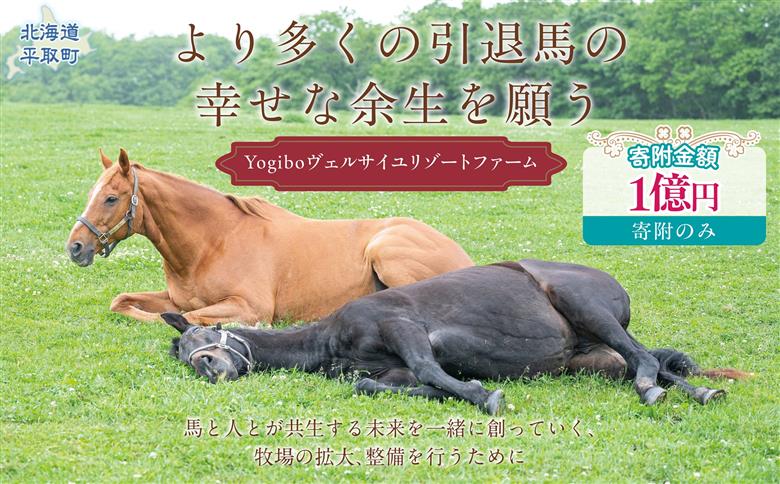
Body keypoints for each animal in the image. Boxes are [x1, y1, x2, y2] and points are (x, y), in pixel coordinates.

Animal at [65, 149, 473, 325]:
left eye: (111, 198)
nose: (75, 247)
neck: (213, 242)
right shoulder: (175, 297)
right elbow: (123, 302)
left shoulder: (249, 306)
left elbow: (184, 317)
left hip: (386, 251)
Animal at [163, 260, 748, 414]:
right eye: (186, 354)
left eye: (206, 333)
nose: (210, 366)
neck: (329, 338)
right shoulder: (386, 369)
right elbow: (375, 385)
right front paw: (456, 392)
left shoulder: (403, 327)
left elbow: (429, 369)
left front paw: (484, 396)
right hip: (594, 358)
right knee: (652, 362)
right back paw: (696, 391)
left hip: (585, 307)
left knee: (644, 359)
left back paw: (657, 390)